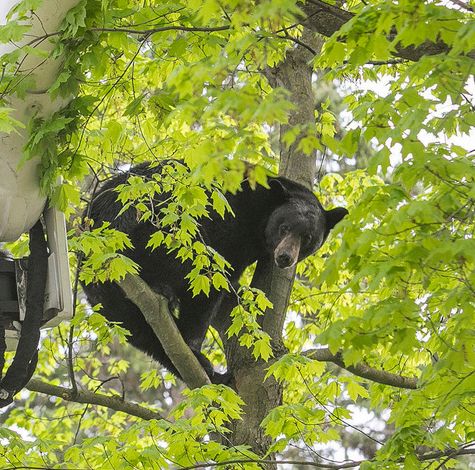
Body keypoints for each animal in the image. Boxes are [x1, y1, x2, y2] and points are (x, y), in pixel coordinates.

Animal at [82, 162, 348, 382]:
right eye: (284, 228)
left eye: (308, 238)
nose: (285, 257)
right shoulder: (229, 218)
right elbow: (212, 280)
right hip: (152, 229)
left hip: (110, 300)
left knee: (144, 333)